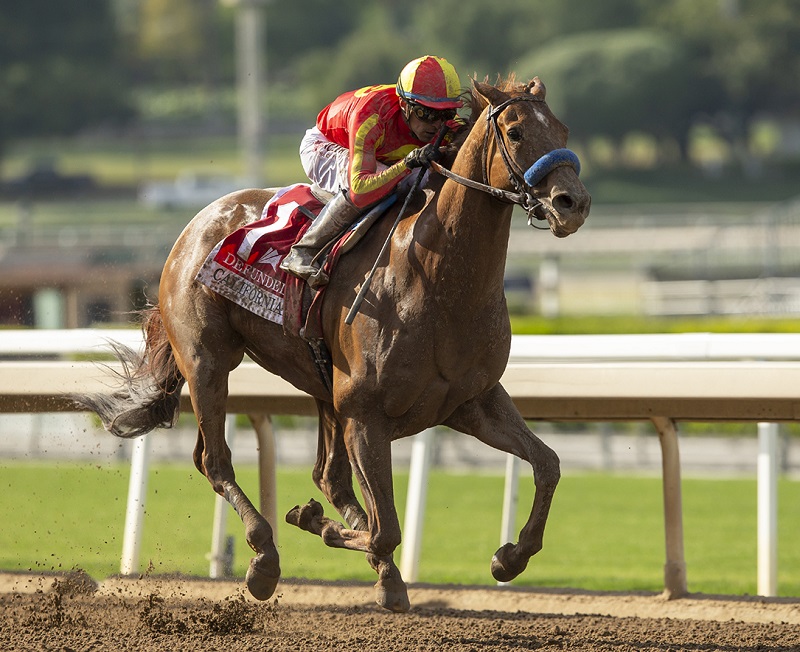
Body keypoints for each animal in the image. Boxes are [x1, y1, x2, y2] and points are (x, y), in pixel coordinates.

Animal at [73, 76, 588, 612]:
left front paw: (509, 557)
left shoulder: (471, 401)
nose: (573, 203)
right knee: (215, 461)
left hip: (322, 385)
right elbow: (385, 529)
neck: (437, 280)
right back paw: (265, 557)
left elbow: (547, 464)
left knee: (330, 478)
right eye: (514, 131)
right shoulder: (365, 412)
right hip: (207, 361)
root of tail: (199, 222)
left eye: (563, 130)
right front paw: (317, 526)